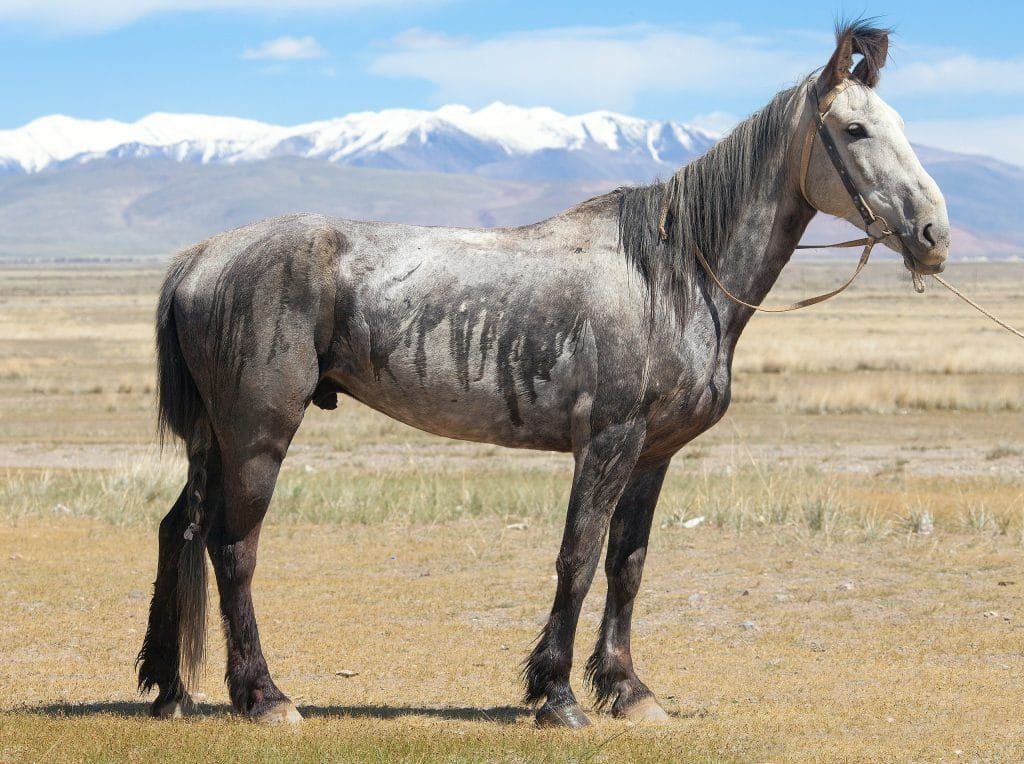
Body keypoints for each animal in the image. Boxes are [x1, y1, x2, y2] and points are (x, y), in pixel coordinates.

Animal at [136, 21, 949, 728]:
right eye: (856, 131)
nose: (934, 234)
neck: (673, 275)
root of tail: (199, 258)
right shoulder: (607, 444)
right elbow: (578, 560)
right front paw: (557, 694)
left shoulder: (652, 455)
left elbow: (627, 564)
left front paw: (628, 690)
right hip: (258, 433)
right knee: (233, 548)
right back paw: (263, 696)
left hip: (215, 437)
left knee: (182, 528)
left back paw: (171, 690)